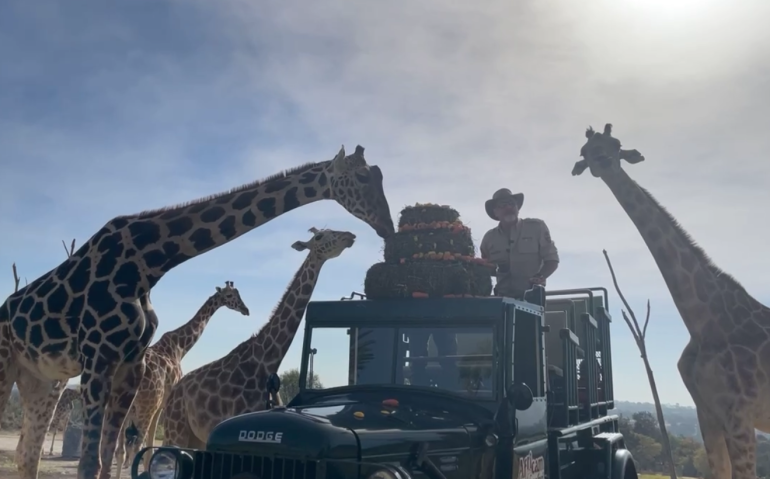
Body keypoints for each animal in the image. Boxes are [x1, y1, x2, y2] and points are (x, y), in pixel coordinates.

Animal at [112, 280, 249, 478]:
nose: (246, 310)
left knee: (118, 449)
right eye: (231, 296)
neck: (180, 347)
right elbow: (151, 448)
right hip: (145, 405)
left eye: (239, 294)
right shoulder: (163, 403)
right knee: (134, 446)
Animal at [162, 227, 354, 448]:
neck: (267, 360)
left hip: (196, 437)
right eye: (319, 236)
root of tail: (173, 394)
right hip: (175, 431)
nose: (349, 236)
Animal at [568, 124, 768, 479]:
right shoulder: (708, 414)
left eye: (616, 145)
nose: (603, 162)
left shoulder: (739, 415)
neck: (703, 320)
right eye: (585, 151)